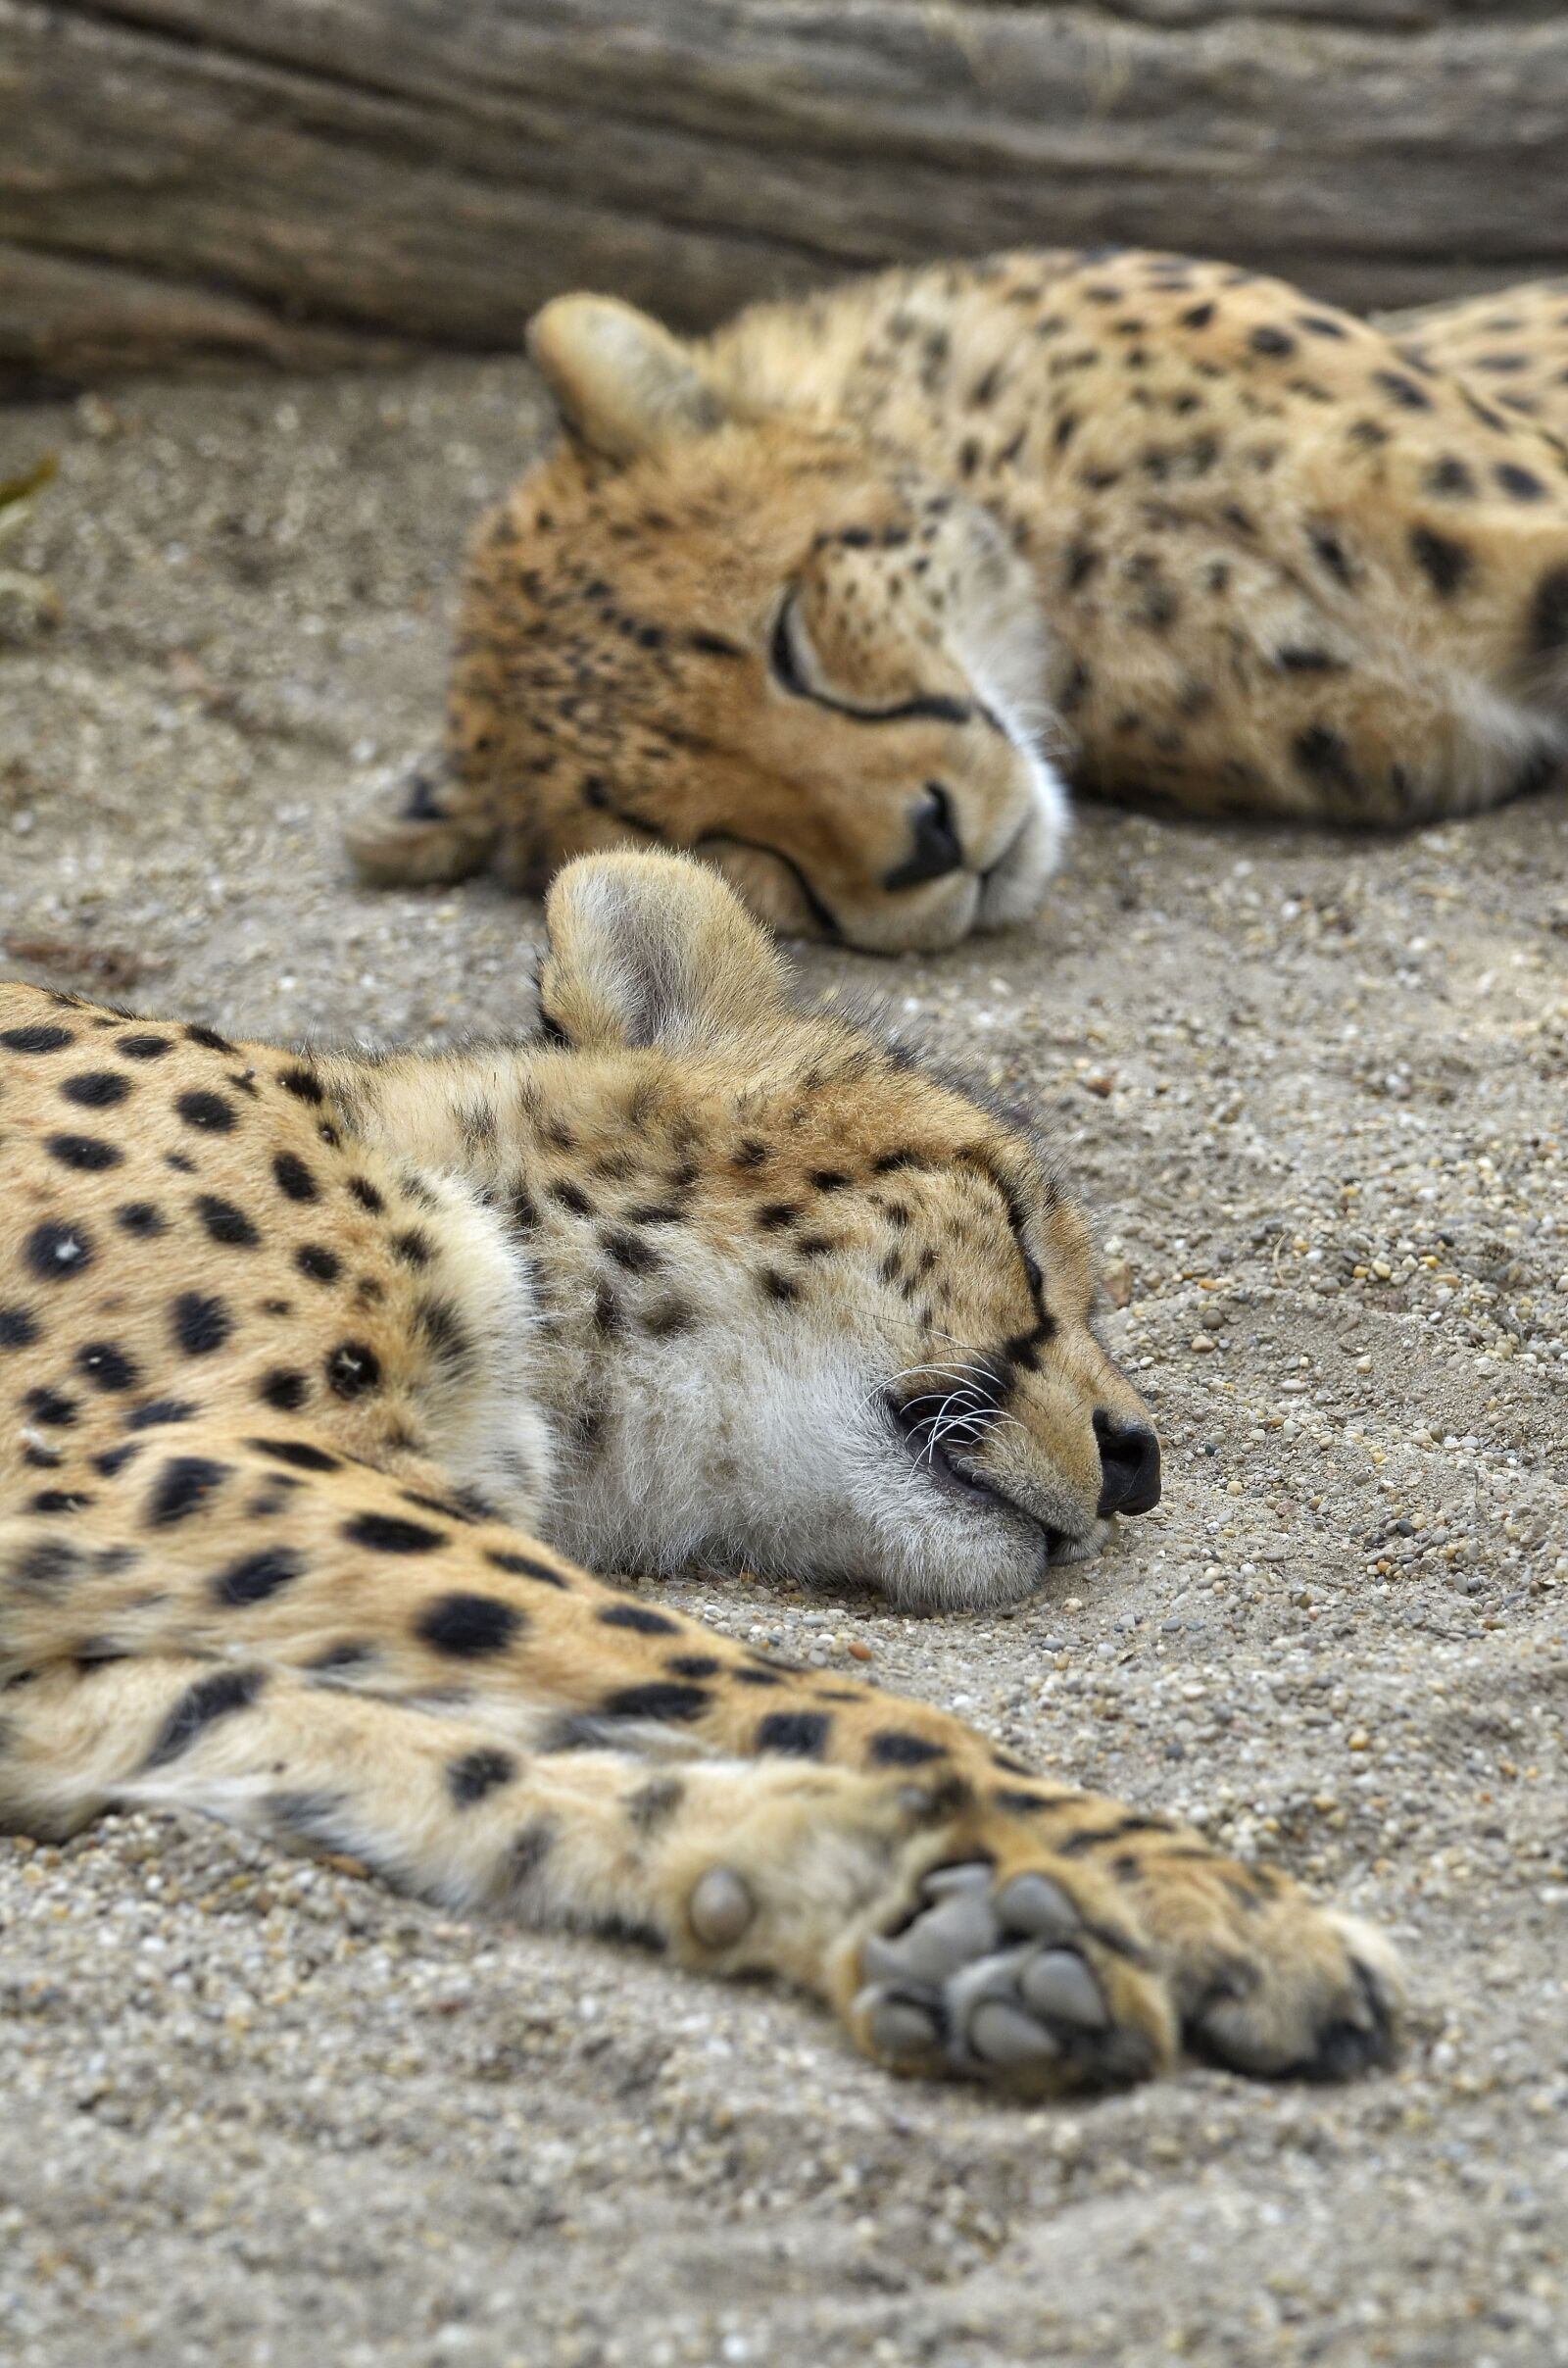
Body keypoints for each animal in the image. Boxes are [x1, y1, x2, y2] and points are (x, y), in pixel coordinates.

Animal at [0, 850, 1401, 2097]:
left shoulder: (71, 1667)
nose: (1136, 1463)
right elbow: (811, 1696)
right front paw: (1192, 1892)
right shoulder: (166, 1463)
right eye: (1013, 1225)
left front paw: (918, 1912)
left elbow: (412, 1761)